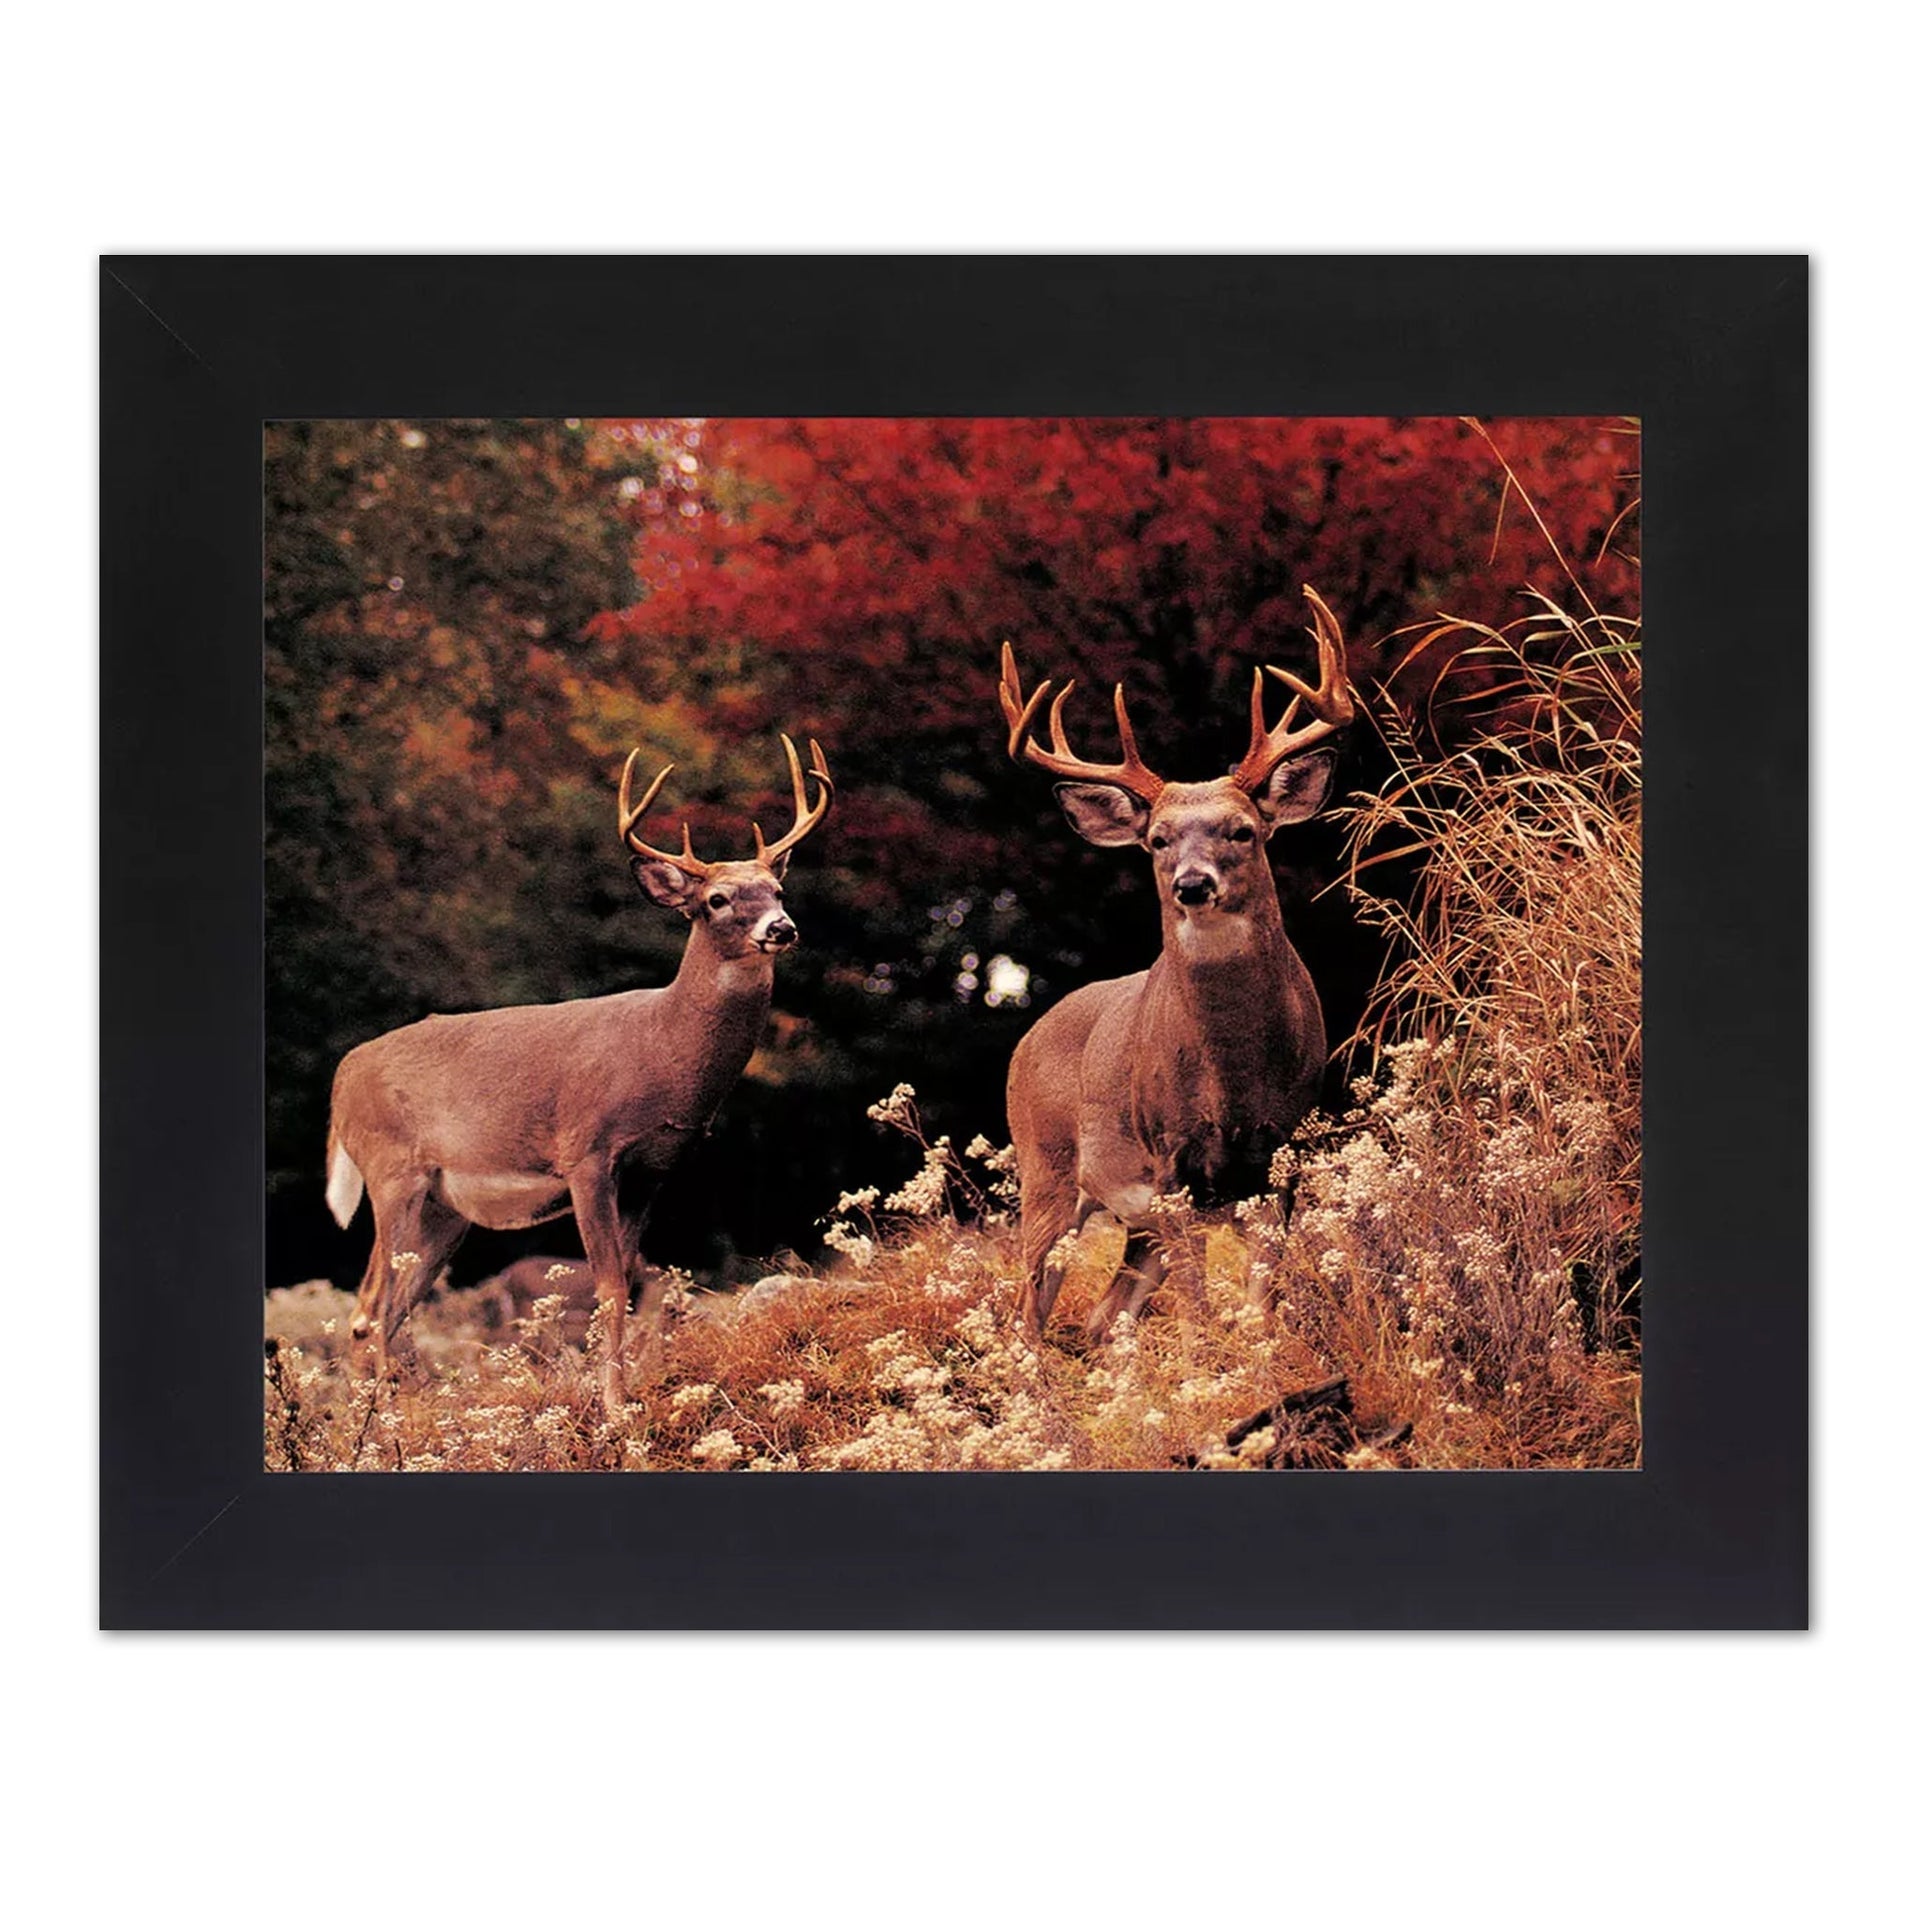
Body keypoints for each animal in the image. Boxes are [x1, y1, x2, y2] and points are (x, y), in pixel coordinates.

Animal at [324, 732, 833, 1414]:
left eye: (777, 891)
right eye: (717, 899)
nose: (781, 928)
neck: (661, 1050)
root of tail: (343, 1074)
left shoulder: (653, 1169)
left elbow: (633, 1278)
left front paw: (628, 1389)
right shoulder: (587, 1152)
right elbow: (610, 1284)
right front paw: (615, 1405)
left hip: (444, 1206)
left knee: (385, 1306)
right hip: (391, 1170)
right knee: (374, 1309)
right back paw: (380, 1423)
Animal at [998, 587, 1356, 1345]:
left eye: (1243, 830)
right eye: (1158, 839)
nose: (1193, 883)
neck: (1233, 1079)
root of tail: (1029, 1034)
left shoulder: (1281, 1155)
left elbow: (1264, 1297)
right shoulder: (1170, 1162)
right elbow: (1199, 1299)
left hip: (1130, 1221)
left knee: (1104, 1315)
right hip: (1046, 1168)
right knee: (1028, 1311)